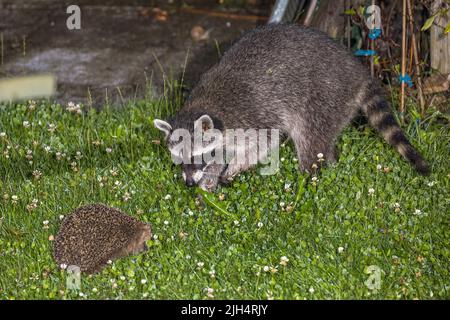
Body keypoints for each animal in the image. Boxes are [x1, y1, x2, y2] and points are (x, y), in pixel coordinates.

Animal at [154, 25, 428, 191]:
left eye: (195, 156)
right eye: (178, 159)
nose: (189, 184)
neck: (205, 103)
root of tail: (358, 73)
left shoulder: (250, 117)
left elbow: (263, 143)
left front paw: (233, 168)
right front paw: (209, 179)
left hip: (323, 99)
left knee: (310, 142)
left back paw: (310, 178)